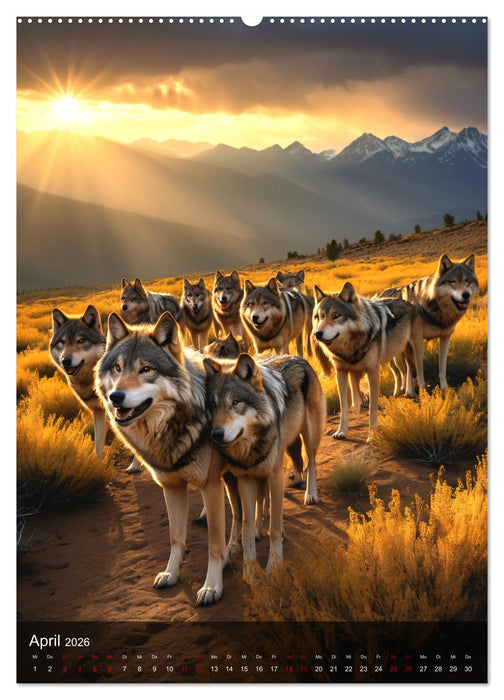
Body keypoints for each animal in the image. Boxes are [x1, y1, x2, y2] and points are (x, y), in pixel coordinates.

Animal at [95, 311, 227, 606]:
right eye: (118, 368)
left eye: (146, 369)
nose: (116, 396)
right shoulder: (172, 486)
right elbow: (176, 537)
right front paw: (171, 573)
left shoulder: (211, 485)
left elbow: (214, 544)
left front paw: (212, 587)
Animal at [204, 352, 325, 578]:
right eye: (213, 405)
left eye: (235, 402)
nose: (216, 434)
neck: (250, 446)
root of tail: (297, 357)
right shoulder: (245, 479)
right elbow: (246, 528)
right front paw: (250, 570)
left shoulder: (275, 475)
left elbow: (275, 527)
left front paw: (274, 565)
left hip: (310, 433)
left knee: (312, 463)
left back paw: (310, 494)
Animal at [313, 282, 423, 441]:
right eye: (318, 317)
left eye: (336, 316)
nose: (317, 334)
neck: (350, 346)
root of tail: (407, 303)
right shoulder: (341, 372)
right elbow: (343, 408)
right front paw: (342, 431)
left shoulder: (372, 371)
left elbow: (372, 409)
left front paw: (372, 435)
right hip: (394, 358)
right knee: (402, 372)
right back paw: (400, 393)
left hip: (414, 348)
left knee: (416, 370)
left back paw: (416, 393)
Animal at [379, 254, 479, 389]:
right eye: (452, 281)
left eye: (467, 281)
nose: (466, 294)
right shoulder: (417, 339)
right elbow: (420, 368)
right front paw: (423, 389)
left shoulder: (445, 338)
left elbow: (442, 367)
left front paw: (445, 388)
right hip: (396, 354)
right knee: (399, 374)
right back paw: (402, 391)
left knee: (404, 373)